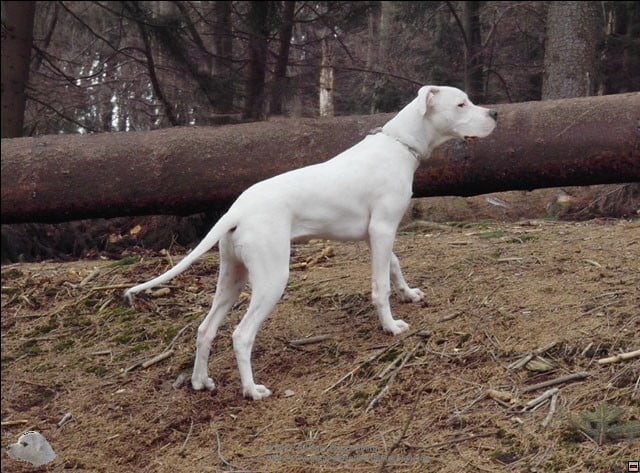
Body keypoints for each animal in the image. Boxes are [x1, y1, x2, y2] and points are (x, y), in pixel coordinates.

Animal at [124, 85, 496, 398]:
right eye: (461, 104)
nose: (495, 114)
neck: (399, 145)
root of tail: (237, 210)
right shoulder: (383, 229)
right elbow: (380, 287)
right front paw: (390, 326)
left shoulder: (375, 236)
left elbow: (394, 264)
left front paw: (409, 294)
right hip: (272, 279)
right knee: (241, 335)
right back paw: (252, 390)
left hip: (233, 277)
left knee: (206, 329)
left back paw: (201, 381)